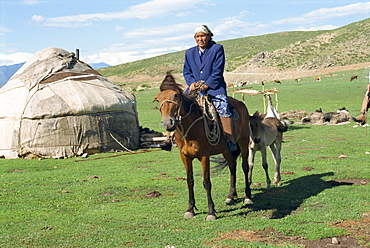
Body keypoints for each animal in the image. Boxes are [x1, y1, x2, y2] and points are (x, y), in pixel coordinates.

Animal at [153, 72, 251, 221]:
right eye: (158, 99)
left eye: (176, 95)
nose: (168, 123)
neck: (190, 131)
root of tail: (241, 105)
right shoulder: (185, 156)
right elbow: (190, 181)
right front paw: (190, 209)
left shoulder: (204, 156)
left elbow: (206, 182)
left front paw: (211, 212)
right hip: (226, 150)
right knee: (232, 166)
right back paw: (230, 196)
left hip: (244, 142)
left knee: (245, 167)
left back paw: (247, 197)